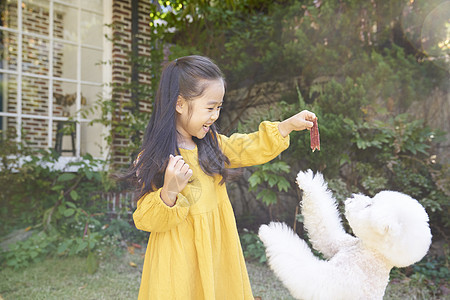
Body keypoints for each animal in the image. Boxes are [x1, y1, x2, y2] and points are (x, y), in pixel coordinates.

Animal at [260, 170, 432, 298]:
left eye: (369, 205)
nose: (352, 197)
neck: (371, 253)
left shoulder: (326, 282)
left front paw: (271, 232)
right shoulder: (336, 242)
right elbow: (323, 224)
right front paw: (308, 181)